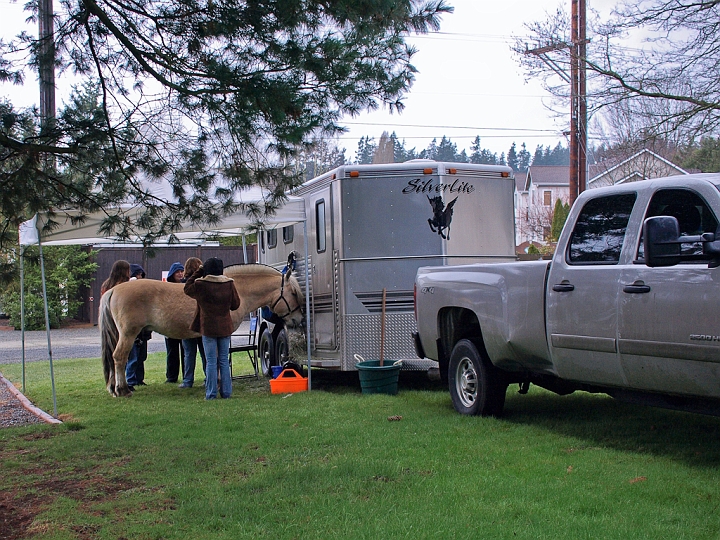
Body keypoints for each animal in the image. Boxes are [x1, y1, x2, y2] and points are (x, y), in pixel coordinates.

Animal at [98, 262, 300, 396]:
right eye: (294, 293)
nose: (298, 319)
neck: (236, 288)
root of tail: (114, 290)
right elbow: (219, 359)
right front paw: (218, 386)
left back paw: (115, 389)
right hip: (128, 334)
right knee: (119, 357)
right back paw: (123, 390)